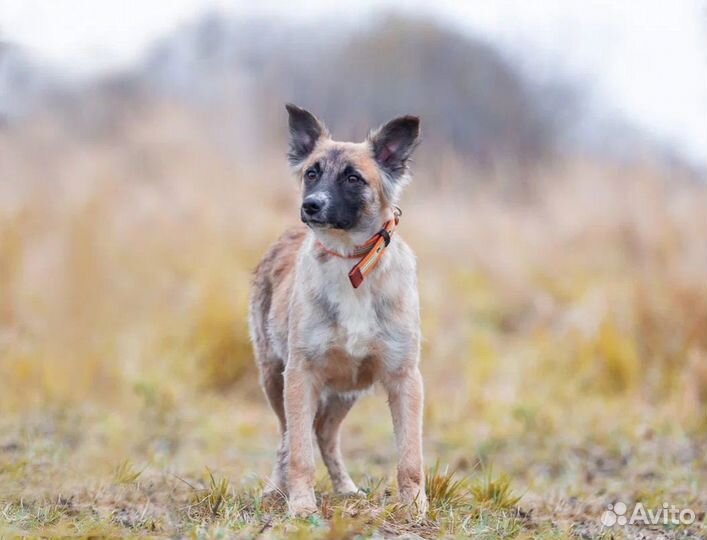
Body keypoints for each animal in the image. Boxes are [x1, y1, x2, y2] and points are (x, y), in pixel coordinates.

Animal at [249, 104, 426, 516]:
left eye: (353, 178)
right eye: (311, 173)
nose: (311, 205)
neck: (351, 261)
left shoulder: (405, 378)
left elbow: (410, 457)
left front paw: (415, 509)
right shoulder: (300, 375)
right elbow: (299, 453)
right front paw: (301, 507)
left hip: (347, 390)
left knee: (324, 434)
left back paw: (345, 488)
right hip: (274, 377)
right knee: (289, 438)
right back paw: (276, 490)